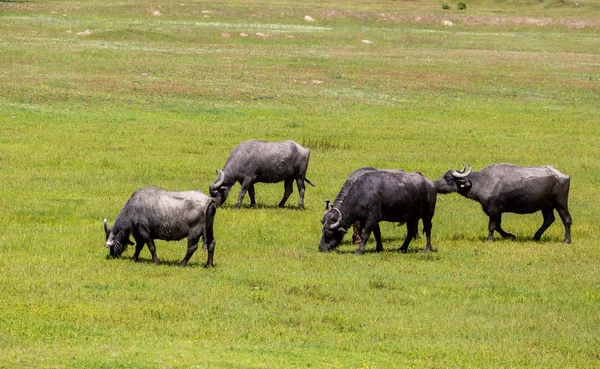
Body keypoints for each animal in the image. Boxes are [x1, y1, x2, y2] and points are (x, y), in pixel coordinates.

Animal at [436, 162, 572, 243]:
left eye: (447, 178)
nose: (435, 184)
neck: (482, 181)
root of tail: (563, 176)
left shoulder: (494, 209)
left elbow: (492, 226)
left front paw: (489, 240)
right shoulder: (497, 211)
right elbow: (498, 226)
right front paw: (511, 236)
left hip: (560, 203)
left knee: (567, 219)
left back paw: (566, 240)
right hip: (546, 206)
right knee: (549, 219)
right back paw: (536, 237)